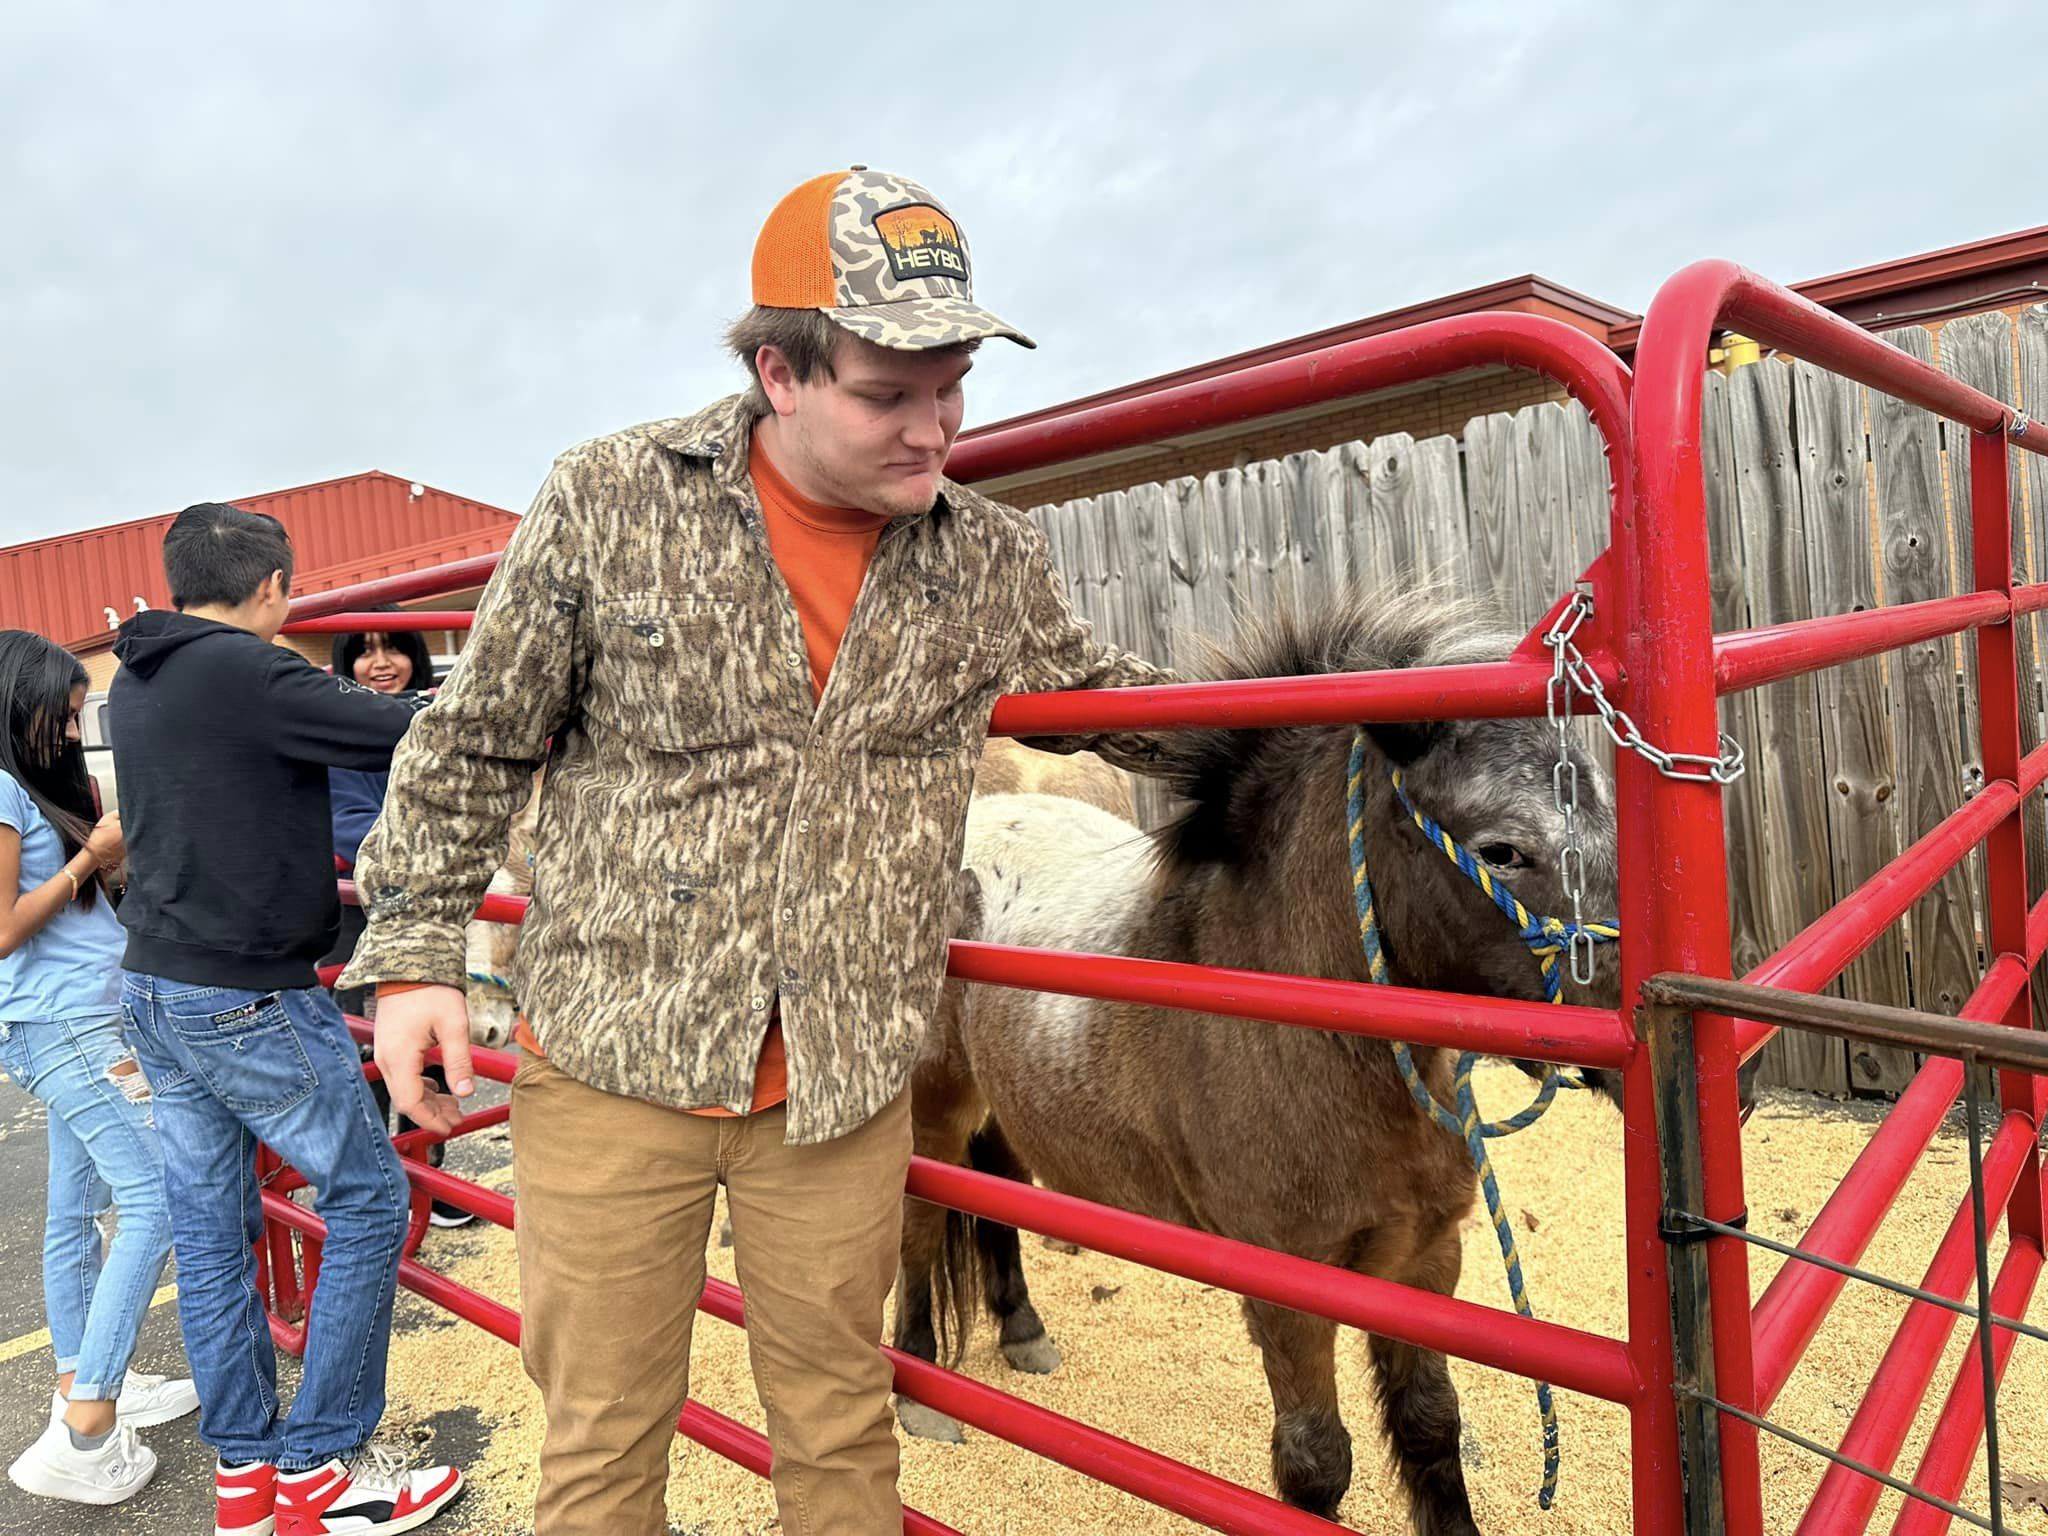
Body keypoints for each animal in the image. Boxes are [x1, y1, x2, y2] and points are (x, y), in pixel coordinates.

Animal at [897, 593, 1630, 1536]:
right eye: (1503, 850)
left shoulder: (1425, 1263)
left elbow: (1431, 1428)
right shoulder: (1289, 1295)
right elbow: (1317, 1462)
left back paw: (1022, 1330)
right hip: (931, 1110)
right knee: (919, 1225)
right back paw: (919, 1388)